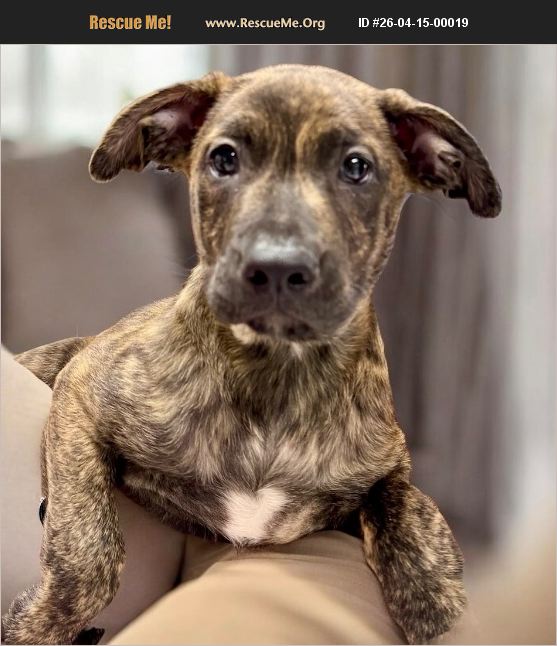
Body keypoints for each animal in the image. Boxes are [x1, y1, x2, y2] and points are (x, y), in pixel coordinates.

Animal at [2, 64, 501, 645]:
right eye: (224, 158)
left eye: (357, 167)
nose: (277, 268)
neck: (276, 373)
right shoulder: (82, 390)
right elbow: (88, 544)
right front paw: (35, 624)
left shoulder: (389, 465)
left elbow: (414, 539)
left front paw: (429, 591)